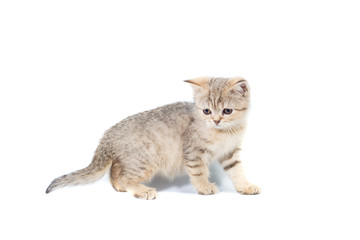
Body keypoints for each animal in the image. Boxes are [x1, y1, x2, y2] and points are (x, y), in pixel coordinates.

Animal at [46, 76, 260, 199]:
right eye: (206, 111)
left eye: (227, 110)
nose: (216, 120)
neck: (226, 132)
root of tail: (108, 135)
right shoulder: (193, 152)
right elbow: (199, 172)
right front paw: (204, 187)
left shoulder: (231, 153)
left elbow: (237, 171)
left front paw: (245, 186)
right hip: (147, 159)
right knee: (124, 176)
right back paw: (141, 190)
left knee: (115, 171)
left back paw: (122, 188)